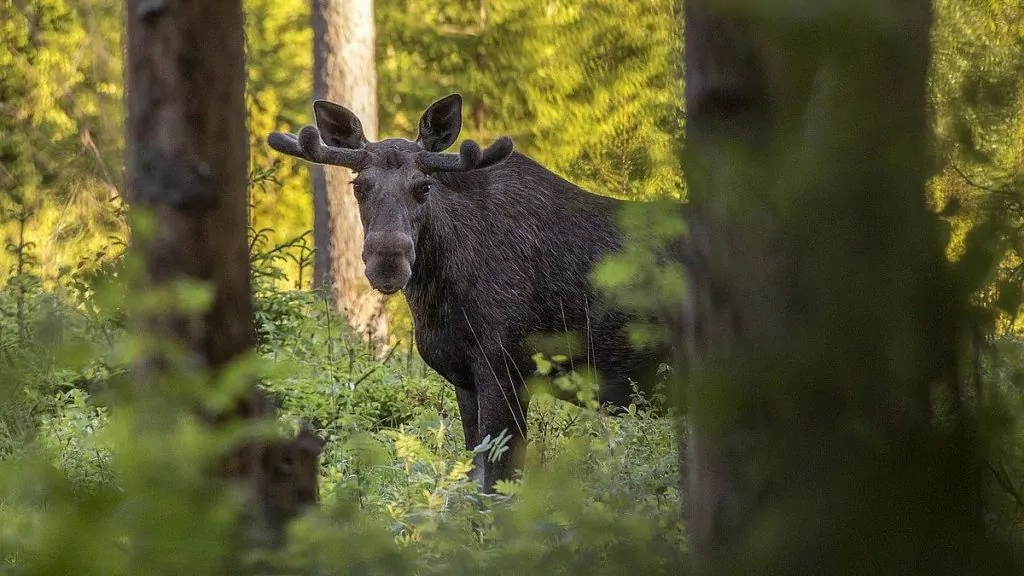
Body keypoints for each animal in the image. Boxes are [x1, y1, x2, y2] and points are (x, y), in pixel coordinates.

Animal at [268, 94, 675, 487]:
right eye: (358, 186)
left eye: (424, 186)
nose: (387, 261)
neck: (439, 300)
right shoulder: (465, 379)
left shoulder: (508, 368)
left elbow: (496, 484)